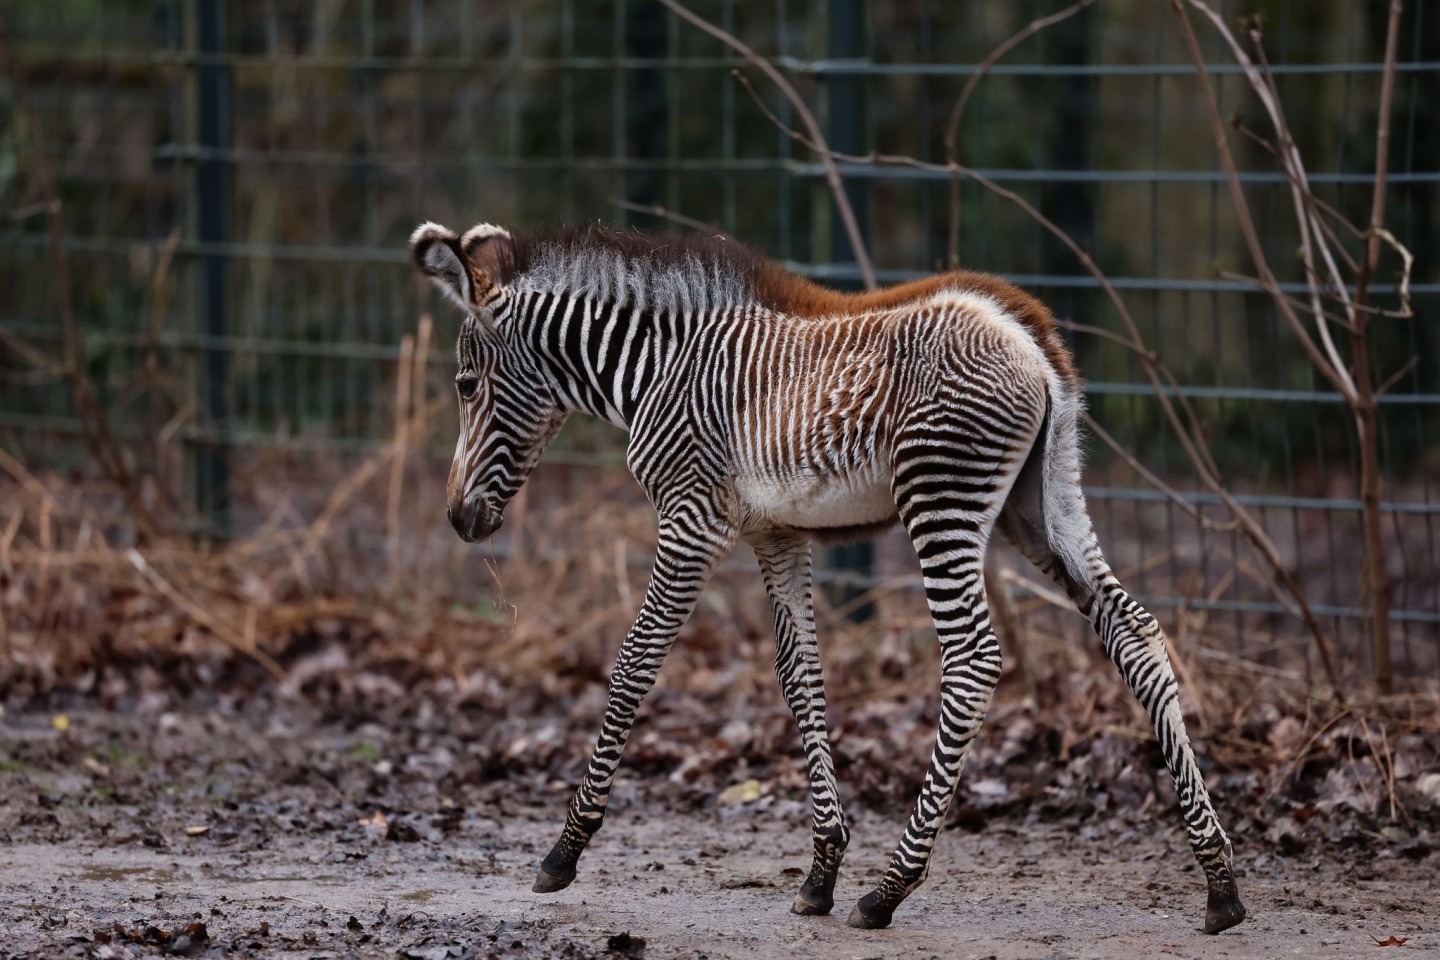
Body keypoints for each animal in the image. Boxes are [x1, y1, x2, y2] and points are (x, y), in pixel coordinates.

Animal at [411, 220, 1244, 932]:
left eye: (464, 385)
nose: (456, 519)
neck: (655, 366)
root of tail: (1024, 333)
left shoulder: (690, 520)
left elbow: (635, 664)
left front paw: (565, 851)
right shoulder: (776, 533)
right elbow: (800, 677)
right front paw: (820, 872)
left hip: (941, 496)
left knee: (974, 659)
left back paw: (889, 890)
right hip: (1043, 505)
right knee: (1135, 633)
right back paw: (1221, 884)